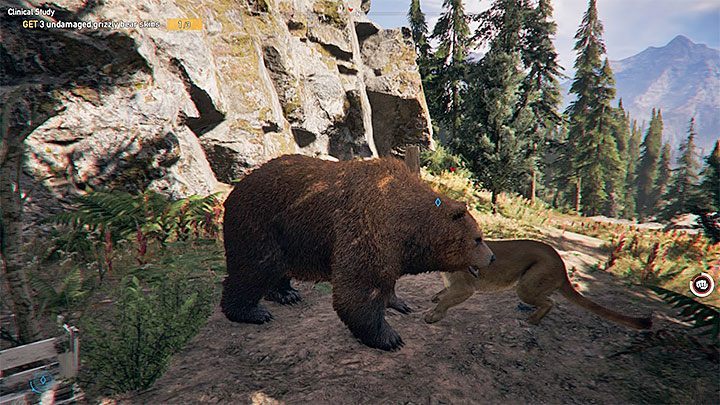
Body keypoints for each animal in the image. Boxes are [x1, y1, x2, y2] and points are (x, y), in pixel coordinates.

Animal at [221, 154, 495, 351]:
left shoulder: (393, 247)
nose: (492, 257)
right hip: (259, 220)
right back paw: (251, 312)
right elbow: (360, 286)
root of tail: (237, 187)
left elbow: (386, 279)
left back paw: (286, 293)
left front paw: (400, 303)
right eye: (478, 239)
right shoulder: (366, 225)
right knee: (255, 267)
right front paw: (390, 337)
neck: (409, 224)